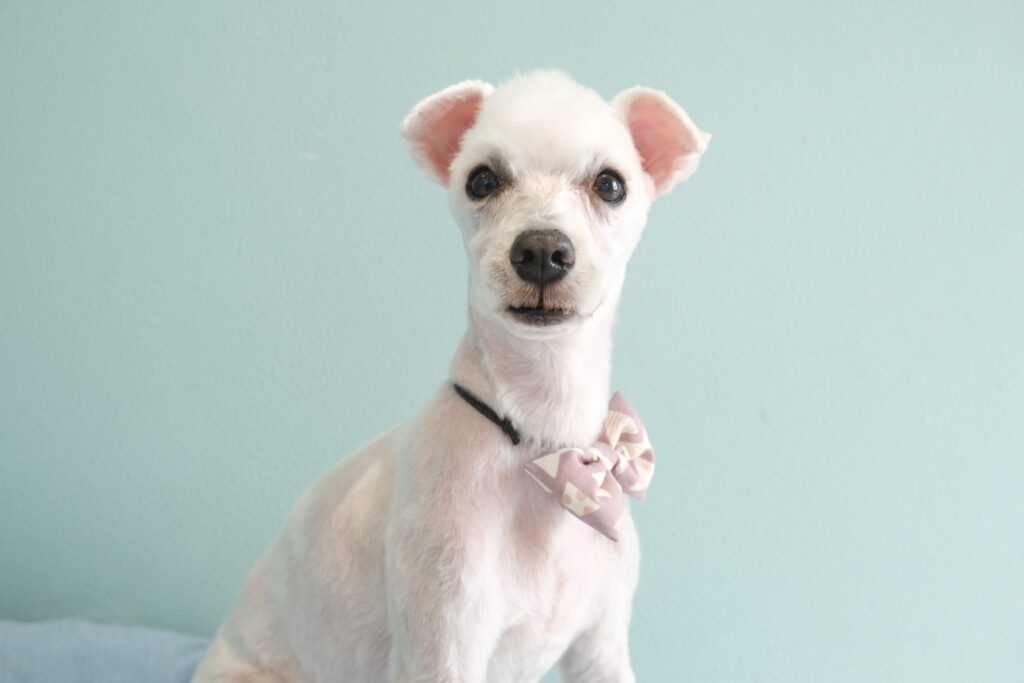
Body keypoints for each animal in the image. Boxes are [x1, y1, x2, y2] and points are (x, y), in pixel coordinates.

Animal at [191, 70, 708, 683]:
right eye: (482, 180)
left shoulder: (600, 645)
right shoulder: (443, 636)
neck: (540, 441)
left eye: (610, 184)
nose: (541, 250)